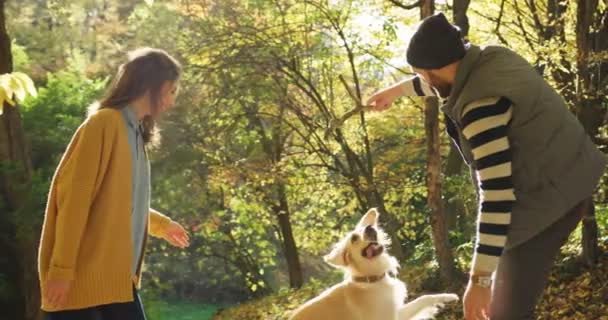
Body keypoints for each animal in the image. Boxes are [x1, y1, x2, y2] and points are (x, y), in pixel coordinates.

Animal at [290, 209, 456, 318]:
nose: (370, 227)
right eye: (354, 238)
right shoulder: (390, 317)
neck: (371, 280)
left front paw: (448, 296)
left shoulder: (395, 311)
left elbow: (424, 298)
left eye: (365, 228)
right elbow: (421, 301)